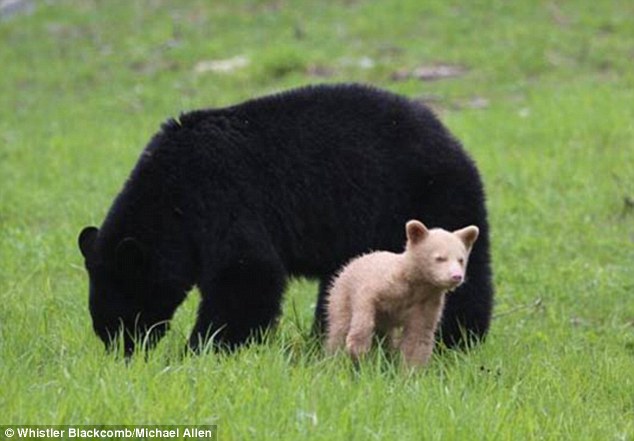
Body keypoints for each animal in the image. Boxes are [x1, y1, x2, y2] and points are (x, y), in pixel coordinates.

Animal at [78, 84, 494, 356]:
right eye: (103, 323)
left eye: (123, 315)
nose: (122, 351)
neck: (172, 198)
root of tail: (454, 141)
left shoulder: (223, 195)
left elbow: (247, 271)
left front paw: (202, 349)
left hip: (428, 195)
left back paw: (458, 337)